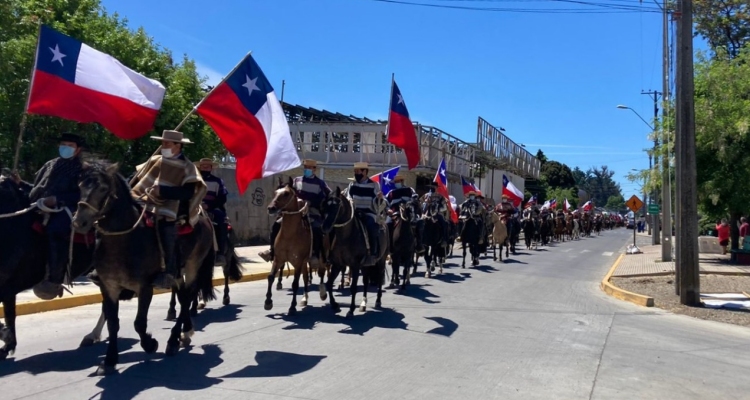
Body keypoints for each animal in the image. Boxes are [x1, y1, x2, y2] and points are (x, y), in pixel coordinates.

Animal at [71, 162, 216, 376]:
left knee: (188, 296)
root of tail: (204, 217)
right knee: (183, 297)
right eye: (80, 185)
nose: (79, 222)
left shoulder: (144, 287)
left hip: (192, 265)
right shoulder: (109, 287)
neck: (123, 241)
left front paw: (150, 344)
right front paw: (109, 360)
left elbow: (139, 323)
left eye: (103, 188)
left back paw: (174, 340)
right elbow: (113, 322)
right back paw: (185, 332)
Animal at [320, 188, 388, 318]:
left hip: (381, 260)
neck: (346, 236)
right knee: (366, 281)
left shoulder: (355, 265)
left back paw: (378, 301)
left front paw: (350, 310)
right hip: (366, 265)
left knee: (379, 279)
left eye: (336, 206)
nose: (325, 227)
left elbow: (353, 288)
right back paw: (363, 304)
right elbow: (329, 284)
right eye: (325, 205)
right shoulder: (337, 265)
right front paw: (335, 305)